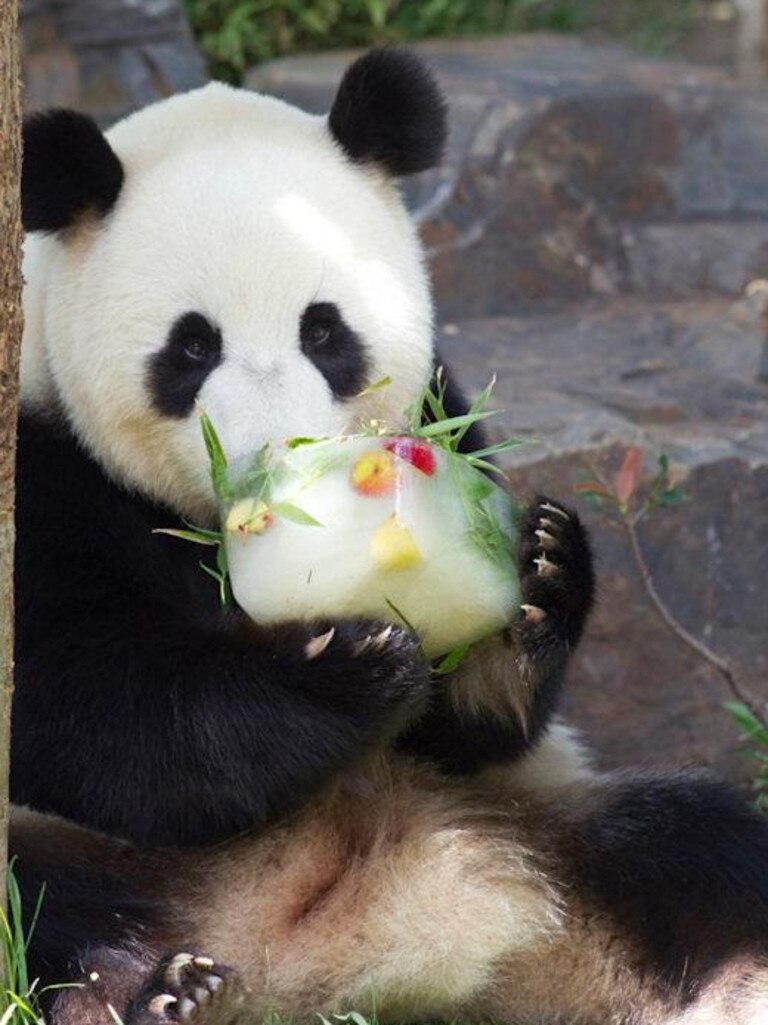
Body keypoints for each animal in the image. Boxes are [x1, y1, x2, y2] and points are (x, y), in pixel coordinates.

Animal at [10, 46, 766, 1025]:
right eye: (192, 347)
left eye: (324, 331)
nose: (276, 458)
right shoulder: (40, 460)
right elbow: (85, 702)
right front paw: (343, 669)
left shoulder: (449, 406)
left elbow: (473, 729)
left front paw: (543, 571)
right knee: (37, 908)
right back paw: (154, 988)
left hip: (554, 819)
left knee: (704, 847)